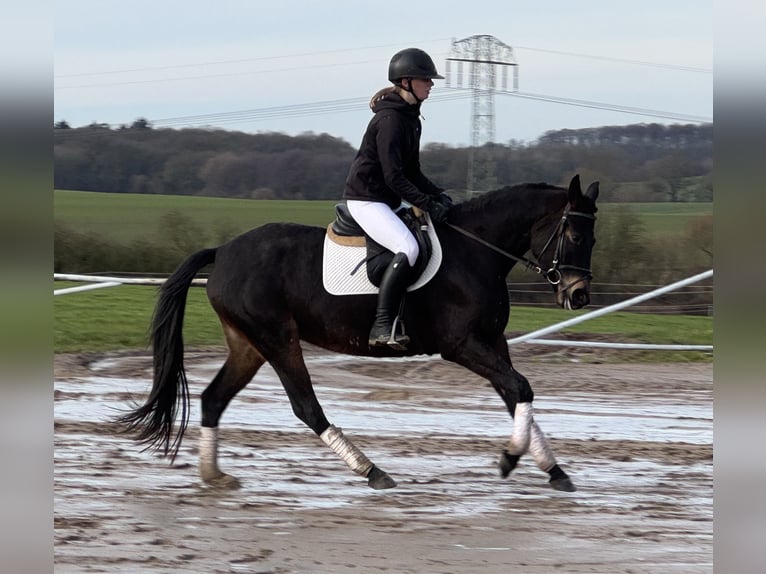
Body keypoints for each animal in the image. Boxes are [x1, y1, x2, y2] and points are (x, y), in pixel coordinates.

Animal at [118, 173, 600, 492]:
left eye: (592, 239)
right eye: (576, 235)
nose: (578, 296)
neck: (476, 251)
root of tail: (224, 250)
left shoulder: (493, 343)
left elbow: (516, 395)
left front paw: (554, 470)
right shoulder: (463, 345)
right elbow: (520, 388)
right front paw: (509, 459)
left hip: (248, 344)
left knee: (214, 399)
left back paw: (213, 475)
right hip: (277, 338)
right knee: (306, 407)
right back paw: (372, 472)